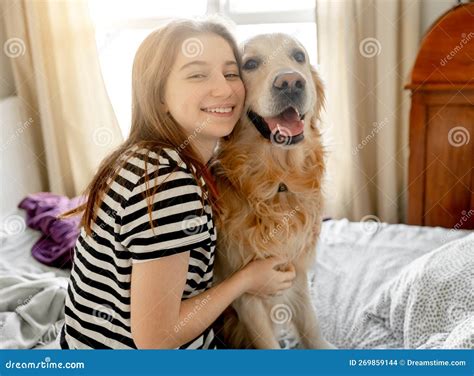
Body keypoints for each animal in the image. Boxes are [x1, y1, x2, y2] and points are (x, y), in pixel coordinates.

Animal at [211, 33, 334, 350]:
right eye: (250, 64)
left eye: (299, 56)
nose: (290, 82)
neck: (279, 181)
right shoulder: (248, 294)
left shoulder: (297, 273)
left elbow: (311, 326)